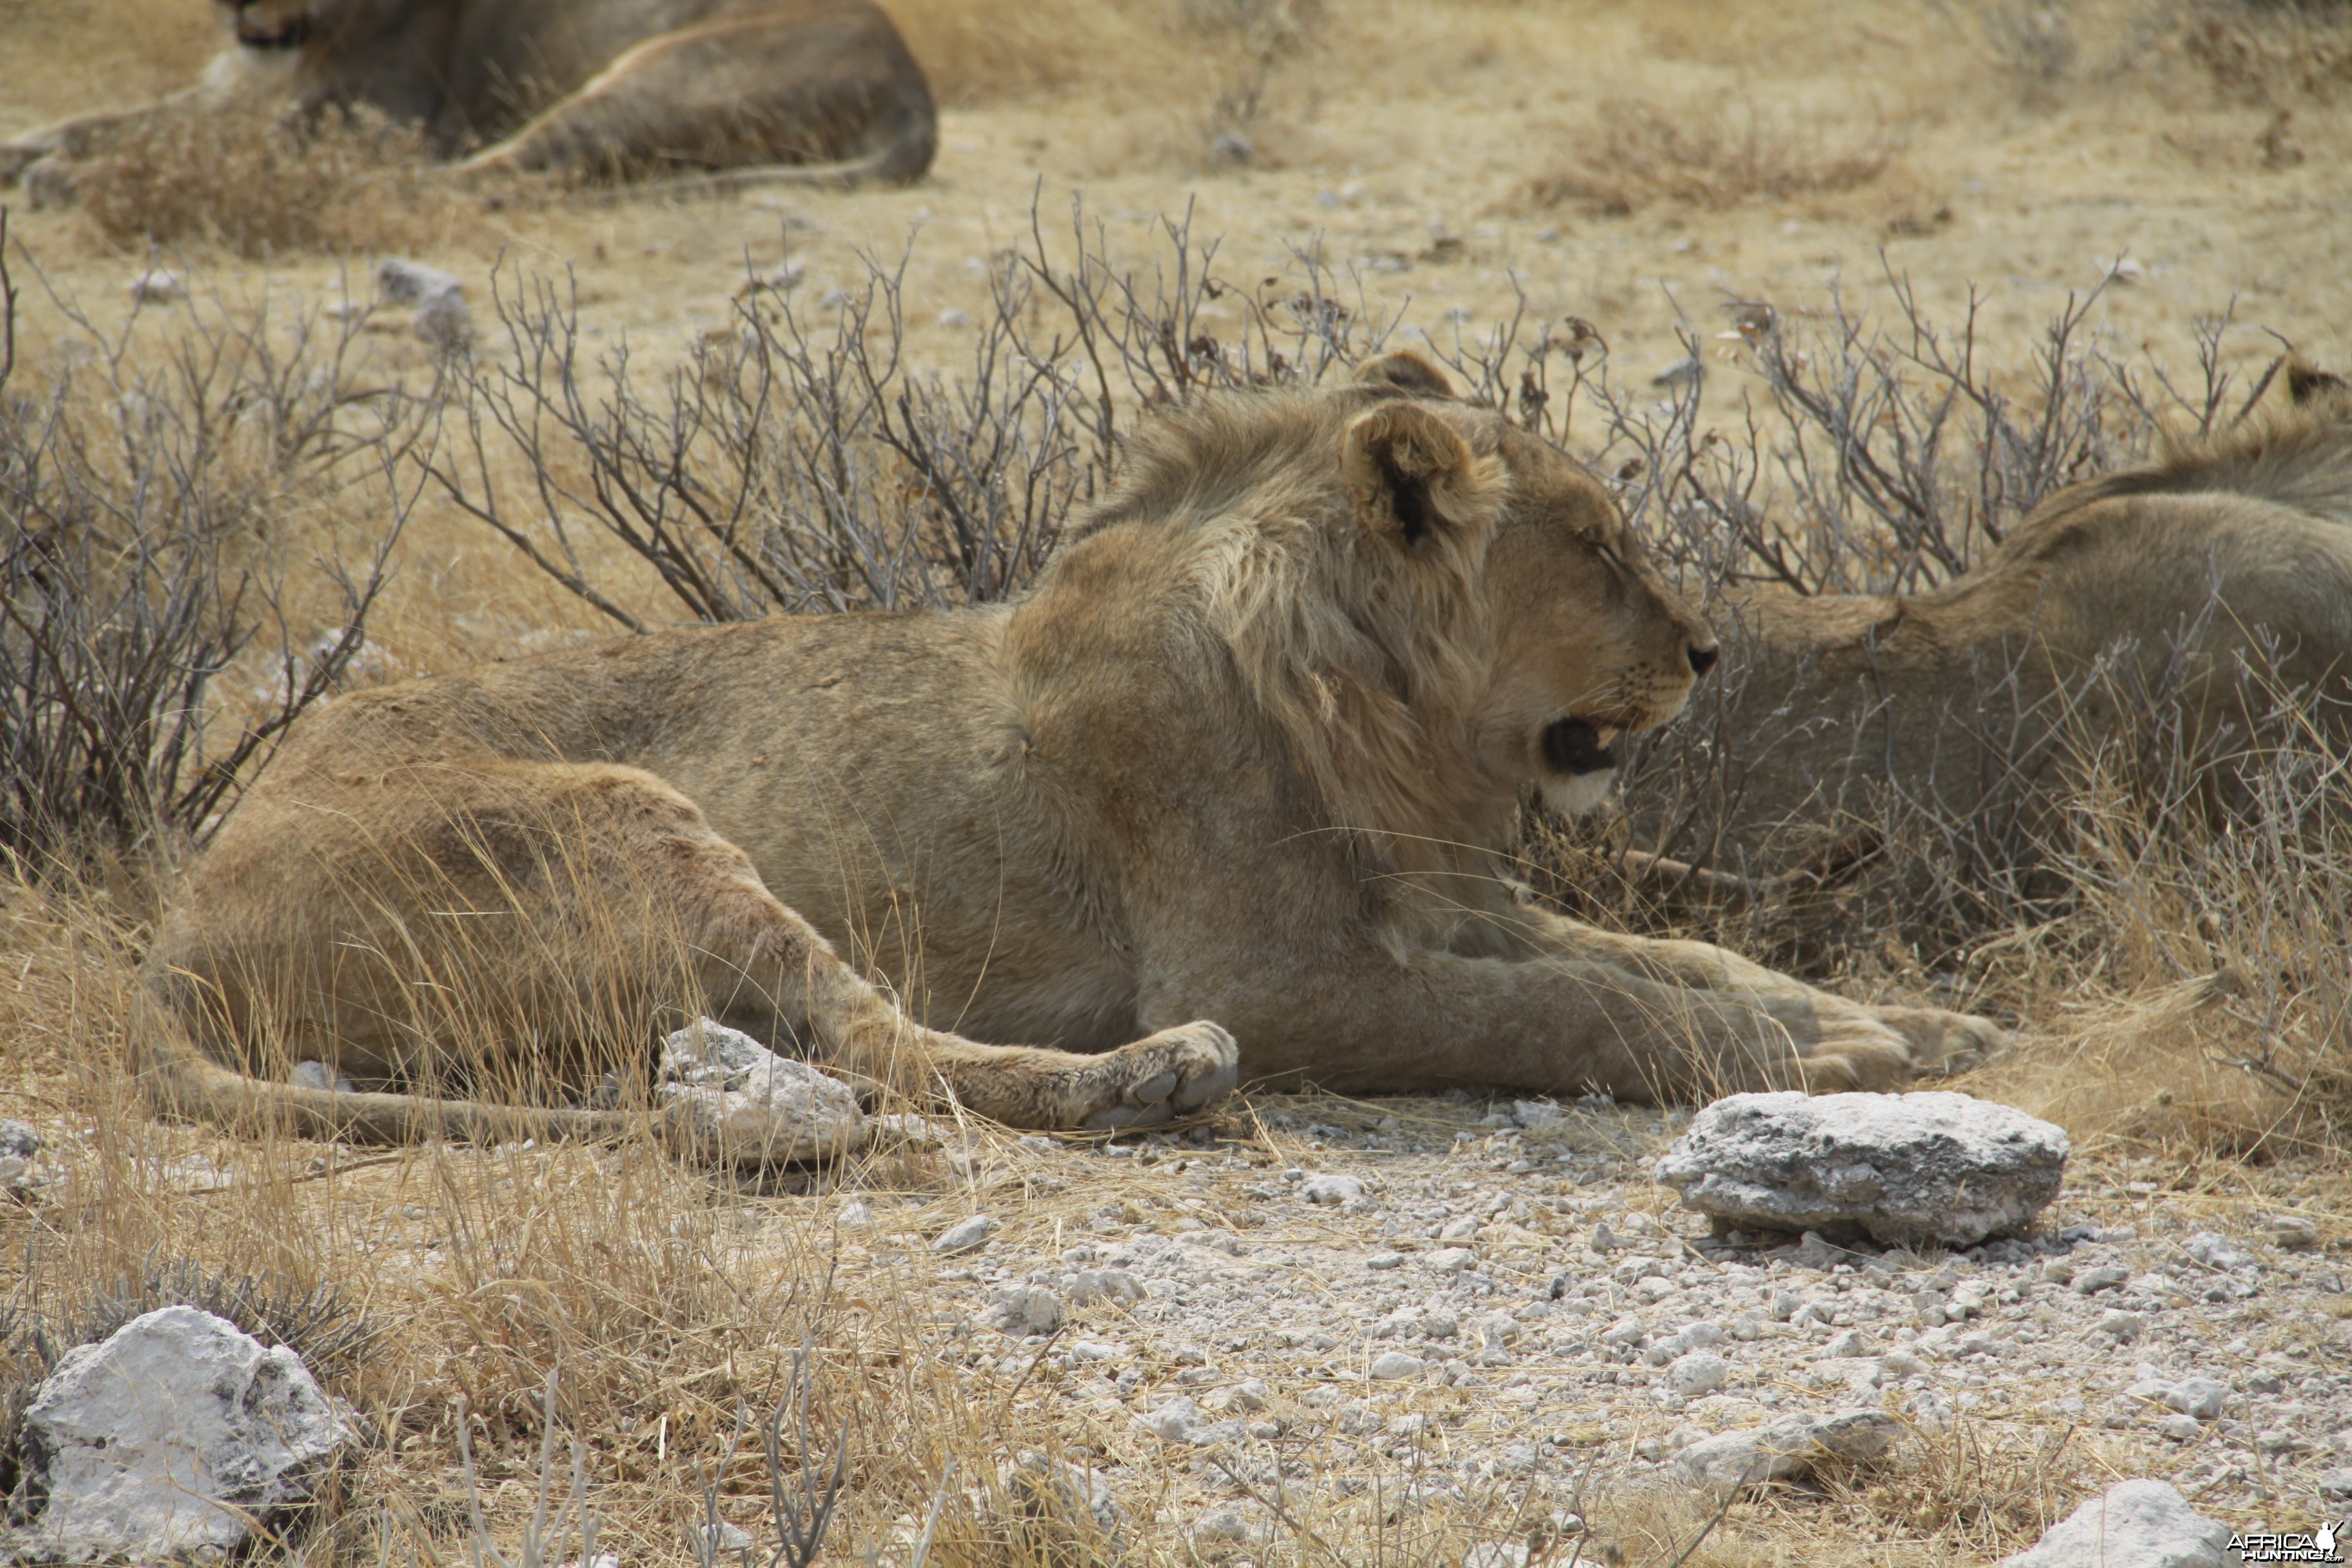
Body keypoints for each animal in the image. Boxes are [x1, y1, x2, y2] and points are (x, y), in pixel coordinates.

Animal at [129, 355, 2004, 1166]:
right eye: (1602, 546)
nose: (1707, 654)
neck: (1382, 717)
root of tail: (176, 917)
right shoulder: (1287, 970)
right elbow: (1571, 1008)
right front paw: (1828, 1053)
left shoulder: (1434, 900)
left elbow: (1662, 949)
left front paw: (1906, 1026)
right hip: (627, 823)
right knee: (880, 1050)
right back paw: (1146, 1080)